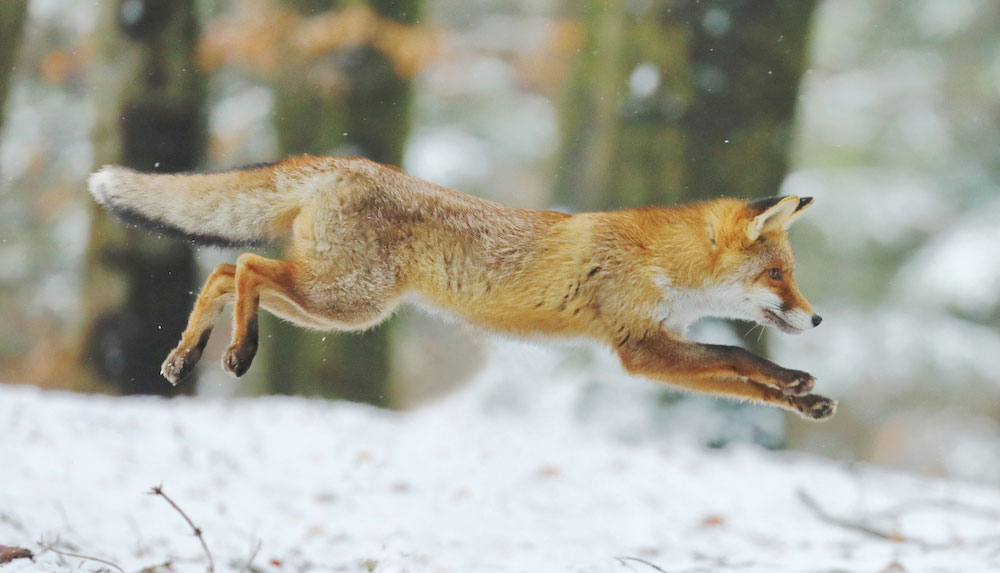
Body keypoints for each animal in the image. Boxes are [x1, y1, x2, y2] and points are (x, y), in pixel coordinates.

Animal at [88, 155, 835, 420]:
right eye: (778, 275)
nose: (818, 319)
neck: (658, 261)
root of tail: (342, 161)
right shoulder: (637, 348)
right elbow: (737, 356)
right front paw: (793, 381)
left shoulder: (659, 341)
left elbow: (741, 375)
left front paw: (801, 396)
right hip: (347, 302)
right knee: (240, 265)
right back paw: (238, 351)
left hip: (340, 307)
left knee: (220, 272)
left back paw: (187, 354)